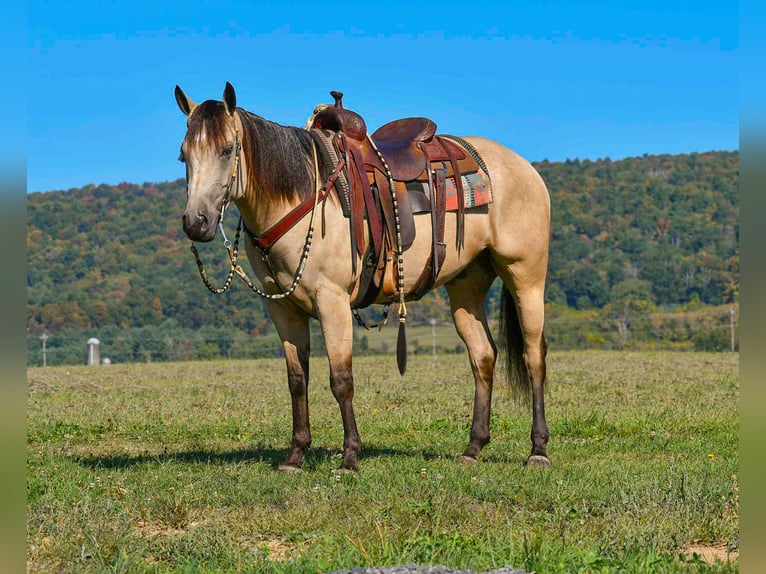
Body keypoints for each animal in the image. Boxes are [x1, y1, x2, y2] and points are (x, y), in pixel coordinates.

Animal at [174, 82, 551, 471]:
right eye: (183, 155)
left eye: (227, 149)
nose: (196, 222)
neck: (303, 194)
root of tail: (522, 167)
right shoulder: (282, 309)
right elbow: (297, 380)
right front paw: (295, 455)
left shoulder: (333, 301)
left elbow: (341, 379)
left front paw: (350, 456)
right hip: (467, 285)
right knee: (483, 356)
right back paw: (473, 448)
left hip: (525, 276)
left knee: (534, 354)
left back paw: (538, 449)